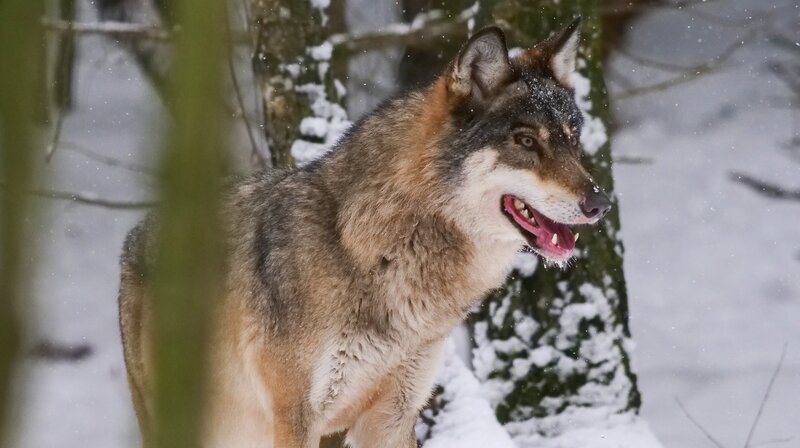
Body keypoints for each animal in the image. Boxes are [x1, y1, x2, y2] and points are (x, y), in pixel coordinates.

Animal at [118, 18, 612, 448]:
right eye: (526, 141)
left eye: (572, 139)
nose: (600, 203)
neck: (374, 252)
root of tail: (141, 232)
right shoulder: (295, 418)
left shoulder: (392, 417)